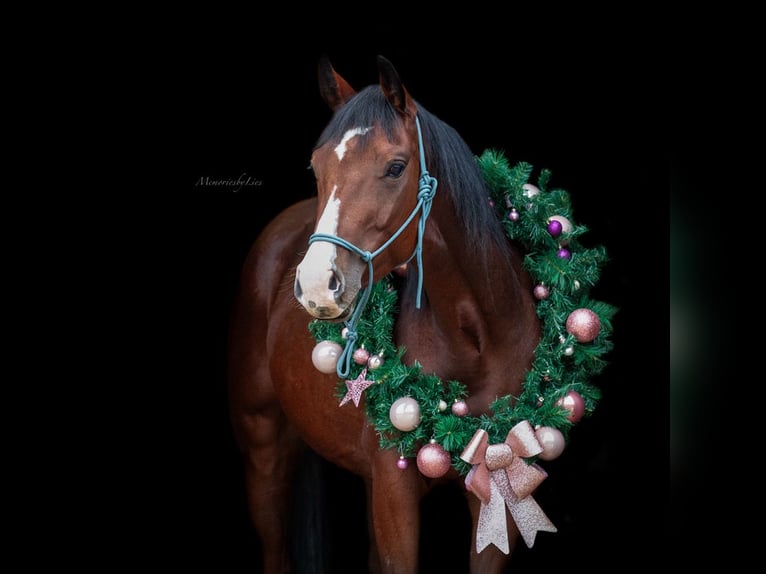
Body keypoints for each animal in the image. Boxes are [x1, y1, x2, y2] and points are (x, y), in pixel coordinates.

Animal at [228, 55, 551, 573]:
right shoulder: (394, 490)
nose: (316, 283)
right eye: (316, 167)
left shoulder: (497, 490)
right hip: (264, 452)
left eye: (396, 167)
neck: (478, 339)